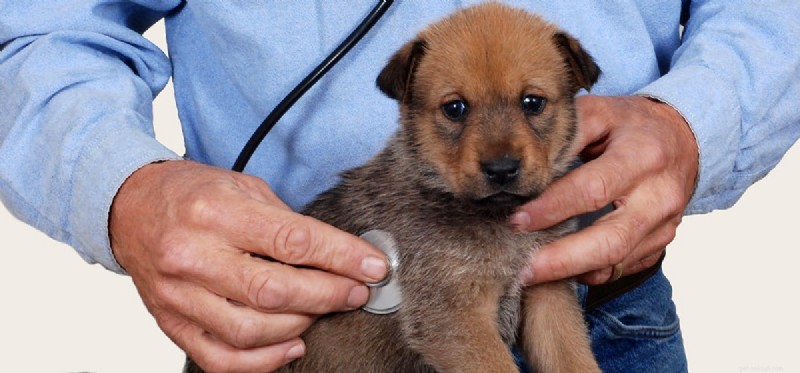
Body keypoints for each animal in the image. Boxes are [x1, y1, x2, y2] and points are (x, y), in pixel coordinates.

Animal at [188, 3, 600, 372]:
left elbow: (574, 360)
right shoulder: (455, 317)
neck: (496, 220)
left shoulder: (548, 297)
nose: (501, 169)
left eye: (533, 102)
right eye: (455, 108)